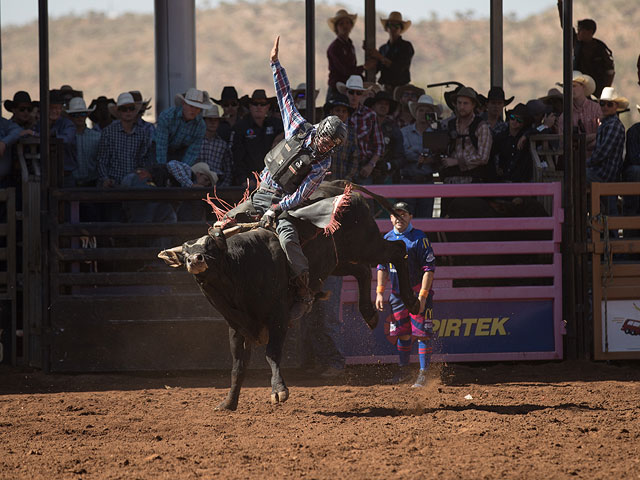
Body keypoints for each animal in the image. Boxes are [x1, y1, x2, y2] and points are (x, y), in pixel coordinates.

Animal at [159, 182, 420, 410]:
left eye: (210, 246)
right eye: (184, 254)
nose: (195, 260)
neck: (241, 268)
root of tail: (343, 188)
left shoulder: (278, 317)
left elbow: (272, 353)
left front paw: (278, 390)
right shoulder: (237, 328)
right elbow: (238, 366)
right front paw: (229, 403)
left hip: (366, 245)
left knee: (398, 252)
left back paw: (413, 301)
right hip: (338, 261)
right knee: (363, 271)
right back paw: (370, 314)